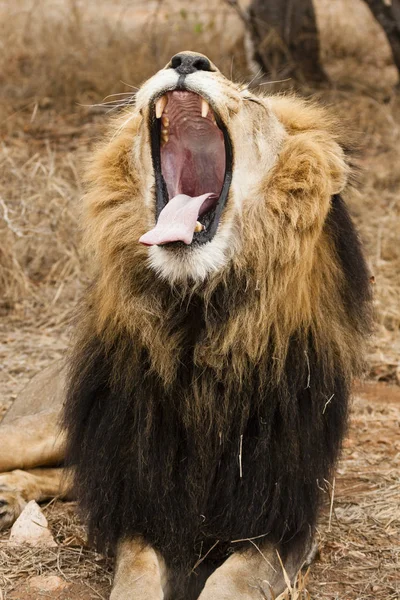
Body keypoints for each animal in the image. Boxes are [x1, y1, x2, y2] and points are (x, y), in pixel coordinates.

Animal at [0, 52, 372, 600]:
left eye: (253, 100)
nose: (187, 59)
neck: (197, 322)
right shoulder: (140, 498)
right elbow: (137, 575)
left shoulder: (282, 521)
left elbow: (232, 582)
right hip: (49, 426)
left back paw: (10, 495)